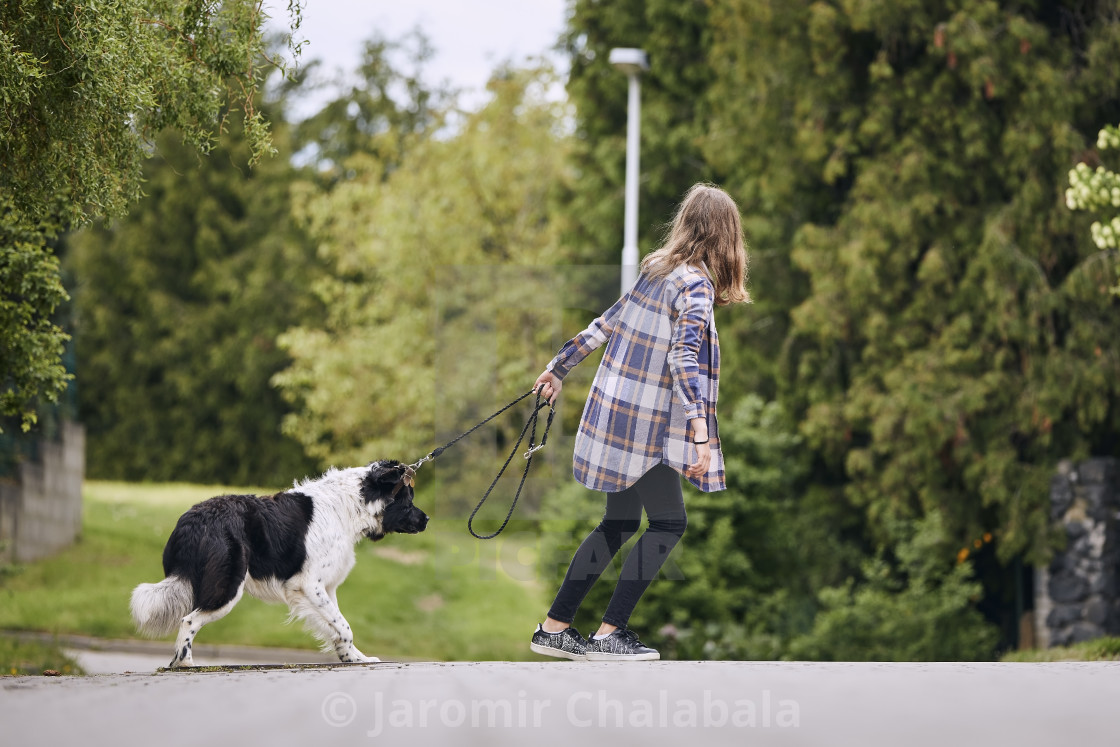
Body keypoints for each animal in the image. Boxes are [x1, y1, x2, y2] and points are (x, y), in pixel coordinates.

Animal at [131, 459, 425, 667]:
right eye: (408, 501)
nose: (427, 519)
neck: (349, 507)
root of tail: (191, 519)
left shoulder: (326, 588)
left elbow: (339, 626)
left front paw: (354, 658)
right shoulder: (308, 585)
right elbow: (344, 626)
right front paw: (352, 657)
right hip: (228, 587)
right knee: (188, 620)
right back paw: (185, 663)